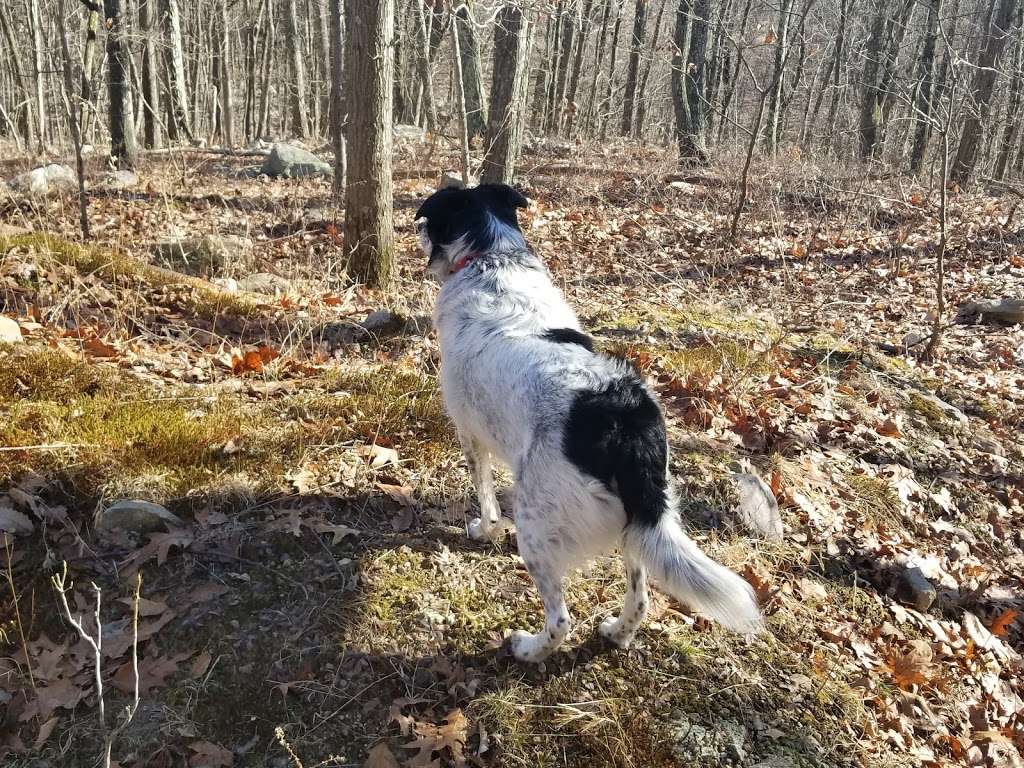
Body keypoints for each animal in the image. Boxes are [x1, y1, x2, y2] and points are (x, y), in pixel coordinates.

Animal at [413, 185, 761, 663]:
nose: (415, 234)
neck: (493, 258)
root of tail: (626, 419)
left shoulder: (470, 436)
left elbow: (485, 498)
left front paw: (484, 531)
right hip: (638, 521)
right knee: (641, 595)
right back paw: (617, 632)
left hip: (536, 522)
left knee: (561, 619)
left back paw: (528, 648)